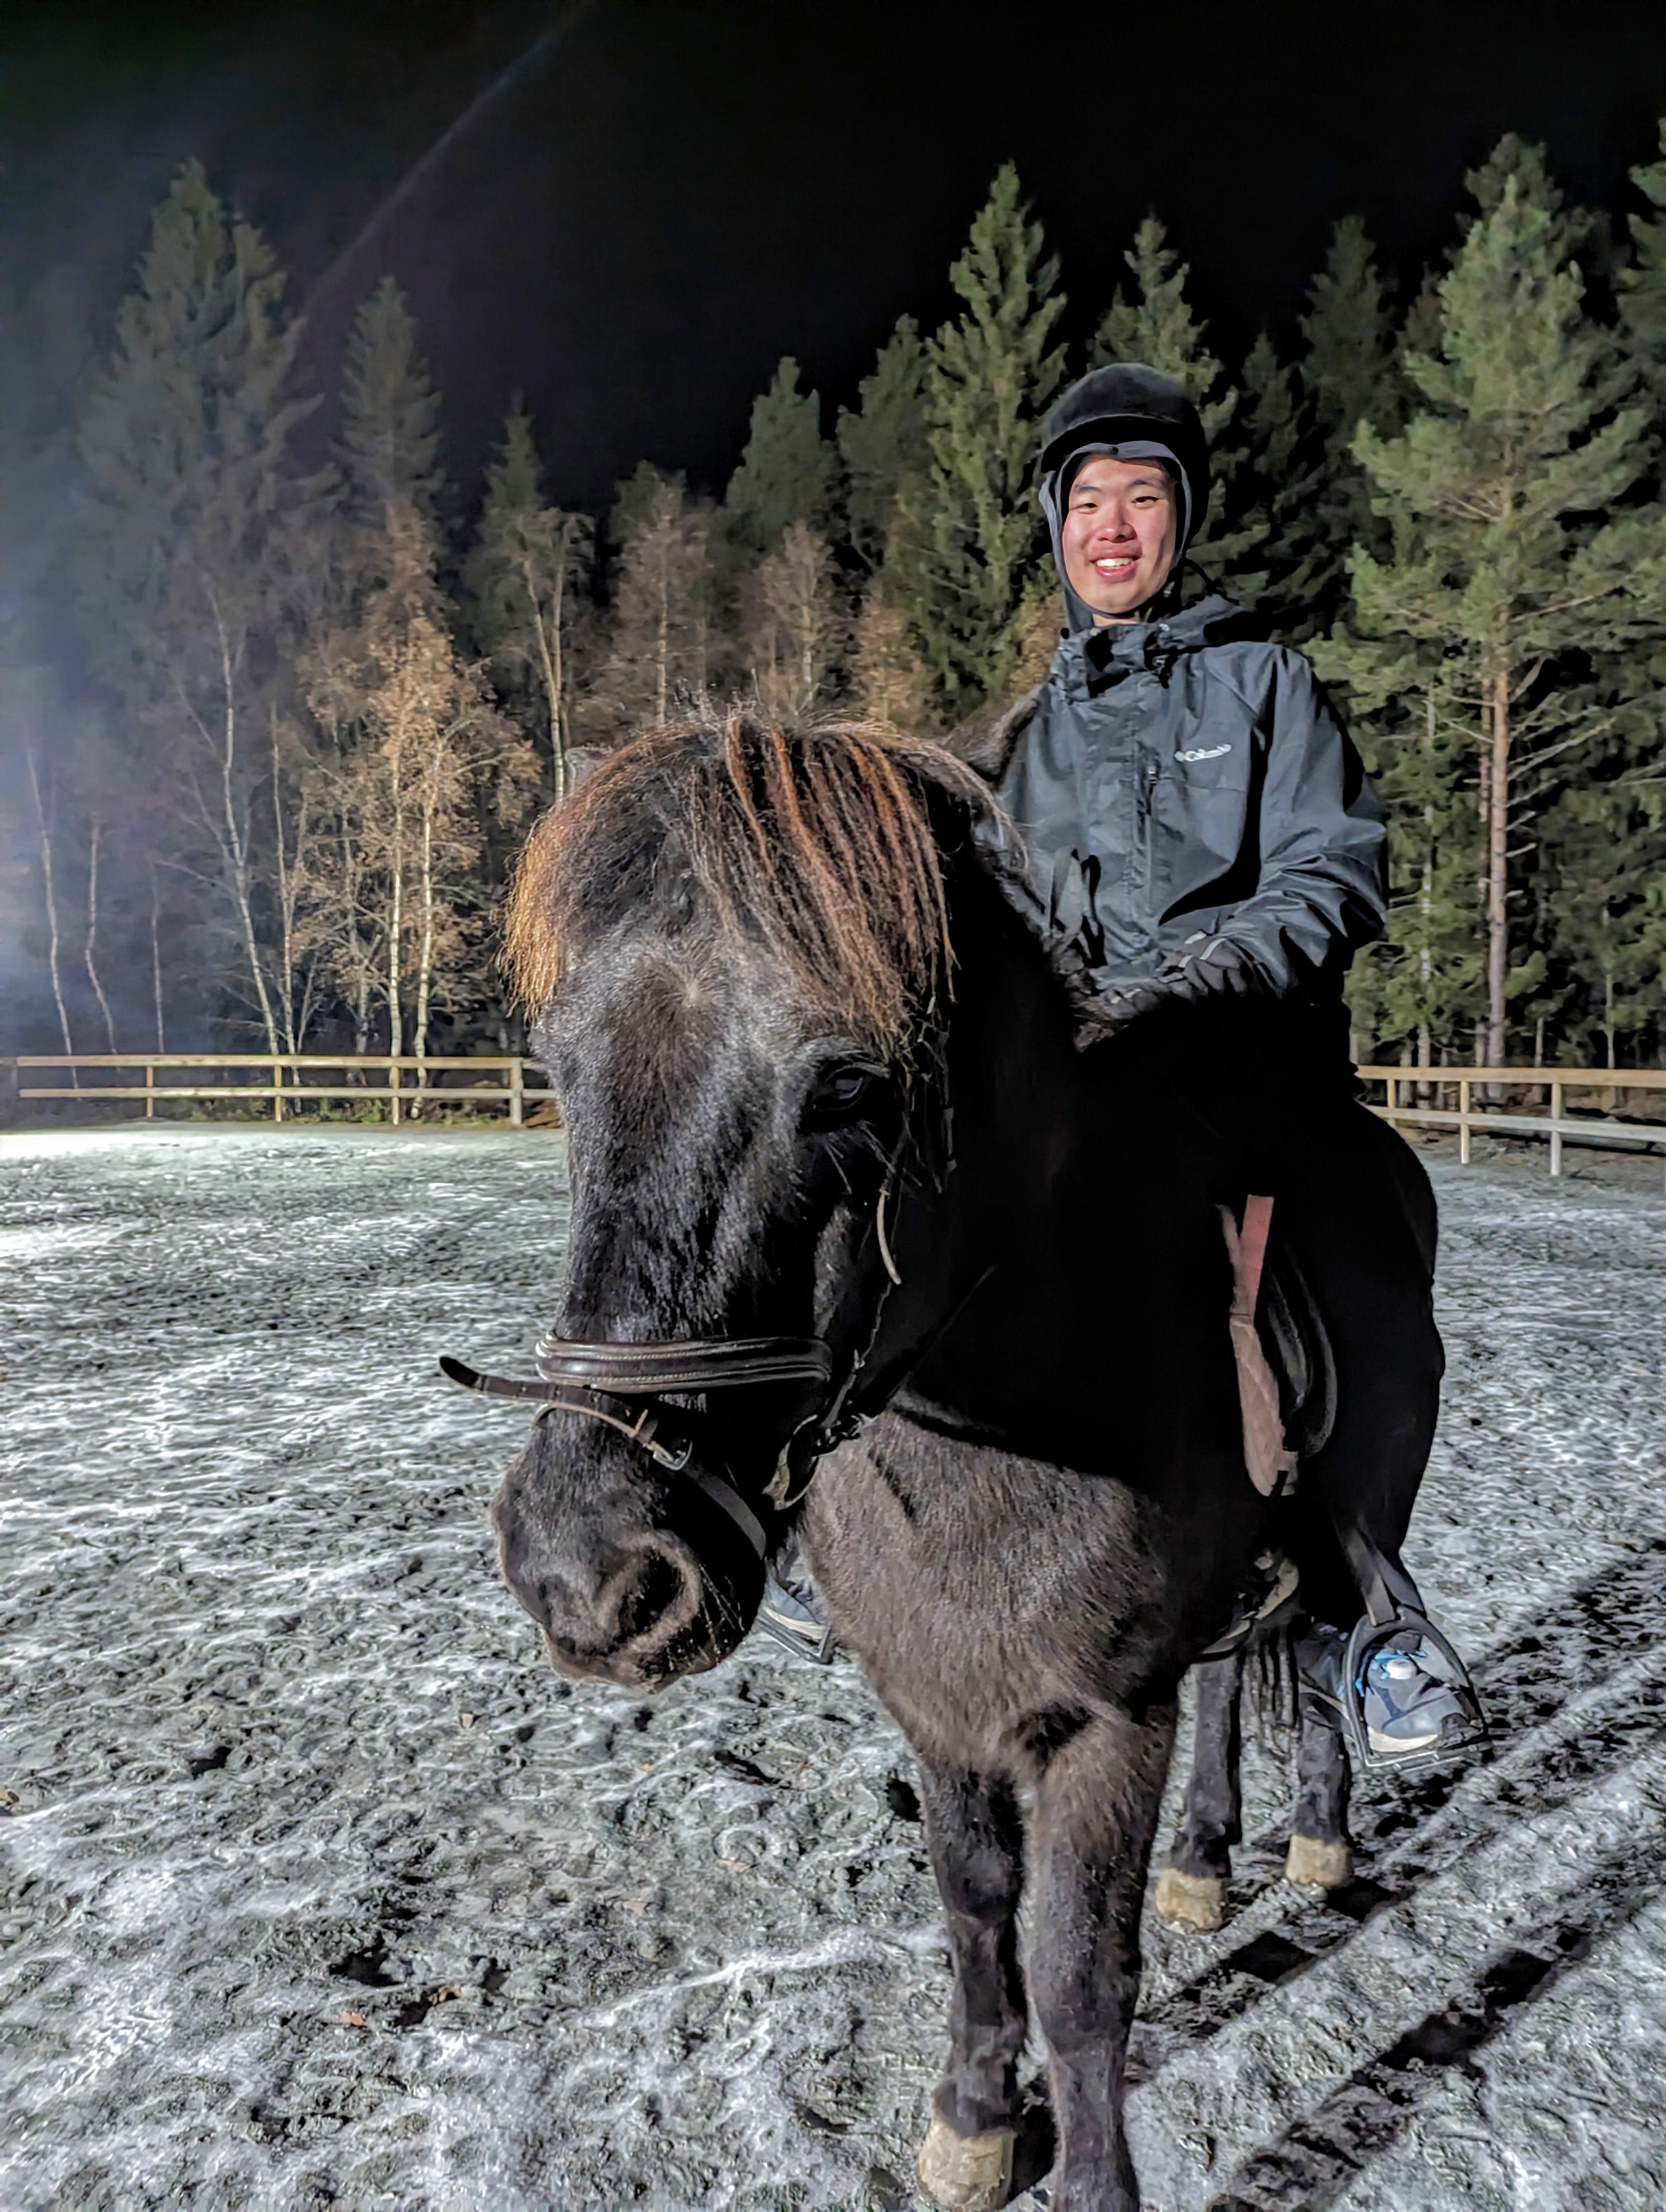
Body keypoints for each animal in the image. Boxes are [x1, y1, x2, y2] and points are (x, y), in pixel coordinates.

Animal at [471, 712, 1389, 2212]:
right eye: (557, 1071)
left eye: (850, 1086)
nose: (585, 1574)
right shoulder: (938, 1701)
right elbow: (973, 1907)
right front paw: (973, 2116)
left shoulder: (1100, 1721)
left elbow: (1081, 1974)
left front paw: (1084, 2177)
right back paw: (1206, 1859)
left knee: (1316, 1658)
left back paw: (1316, 1835)